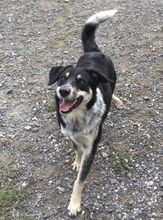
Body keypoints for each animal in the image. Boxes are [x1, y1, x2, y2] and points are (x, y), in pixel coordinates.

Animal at [48, 9, 122, 215]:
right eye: (62, 79)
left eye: (81, 82)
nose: (64, 91)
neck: (77, 117)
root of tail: (94, 51)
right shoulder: (69, 134)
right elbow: (77, 148)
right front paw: (77, 161)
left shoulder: (92, 147)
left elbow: (79, 181)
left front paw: (74, 204)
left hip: (112, 79)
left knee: (112, 89)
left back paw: (116, 100)